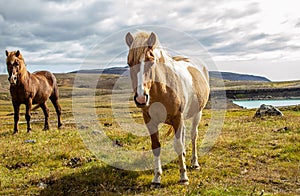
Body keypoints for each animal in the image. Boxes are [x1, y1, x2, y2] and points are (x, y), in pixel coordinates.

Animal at [125, 31, 210, 186]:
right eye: (129, 63)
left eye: (151, 61)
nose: (141, 98)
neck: (162, 91)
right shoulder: (150, 121)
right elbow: (156, 146)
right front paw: (156, 178)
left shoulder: (177, 118)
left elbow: (178, 145)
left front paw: (183, 177)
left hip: (197, 113)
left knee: (193, 135)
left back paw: (194, 163)